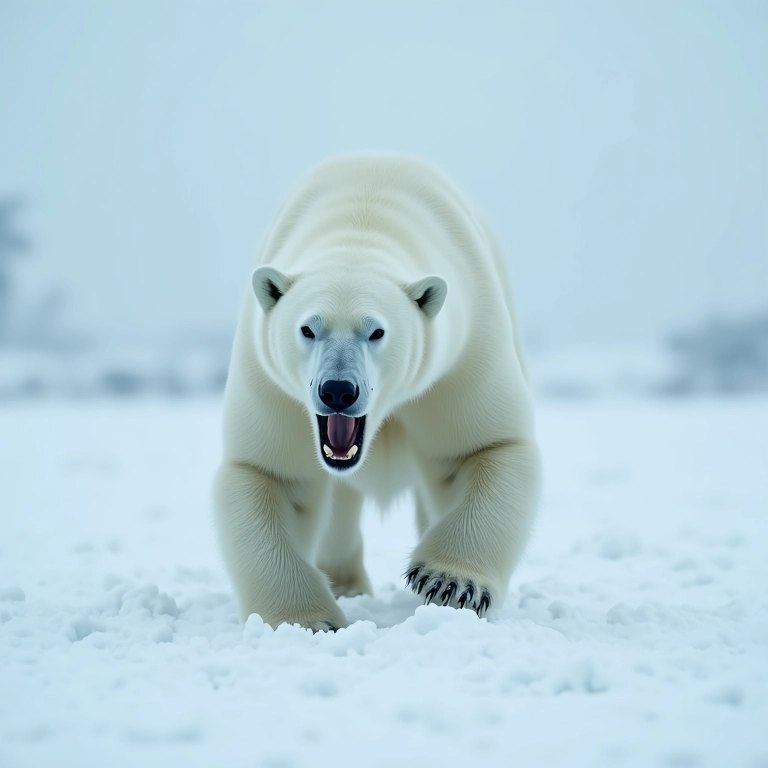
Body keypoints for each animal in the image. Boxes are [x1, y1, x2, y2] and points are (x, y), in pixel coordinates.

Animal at [213, 153, 540, 630]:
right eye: (308, 328)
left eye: (377, 331)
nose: (338, 390)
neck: (363, 221)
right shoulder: (273, 385)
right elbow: (272, 474)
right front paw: (308, 620)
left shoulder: (459, 360)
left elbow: (485, 446)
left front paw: (447, 581)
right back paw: (346, 584)